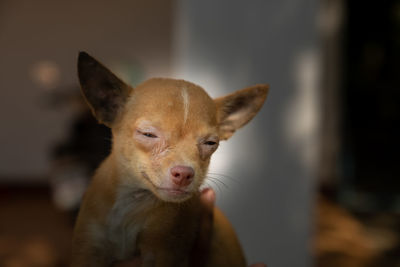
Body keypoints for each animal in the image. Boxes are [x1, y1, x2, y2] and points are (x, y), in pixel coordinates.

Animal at [72, 52, 268, 267]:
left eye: (210, 143)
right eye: (148, 134)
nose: (184, 174)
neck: (133, 202)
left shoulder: (166, 252)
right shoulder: (88, 250)